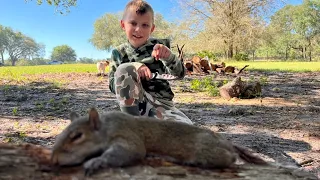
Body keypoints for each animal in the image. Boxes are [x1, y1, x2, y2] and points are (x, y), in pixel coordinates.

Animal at [52, 107, 268, 175]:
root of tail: (227, 142)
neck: (106, 126)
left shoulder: (127, 135)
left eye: (77, 136)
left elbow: (132, 151)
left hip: (206, 150)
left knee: (228, 159)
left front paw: (96, 162)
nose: (54, 159)